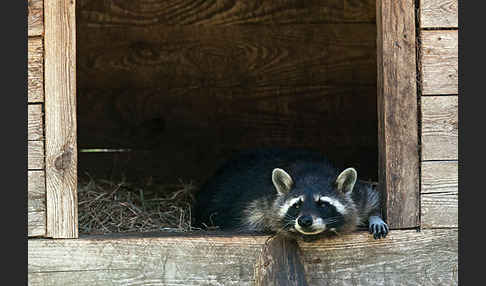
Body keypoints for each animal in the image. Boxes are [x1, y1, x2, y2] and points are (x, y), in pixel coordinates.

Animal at [192, 149, 390, 240]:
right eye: (296, 205)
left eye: (323, 204)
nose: (304, 221)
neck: (312, 174)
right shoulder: (261, 203)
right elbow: (251, 220)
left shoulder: (358, 195)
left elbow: (372, 199)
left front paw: (375, 217)